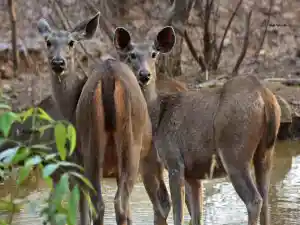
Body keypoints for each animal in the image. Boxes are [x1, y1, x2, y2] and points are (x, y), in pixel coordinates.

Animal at [112, 25, 282, 225]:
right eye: (131, 55)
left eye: (154, 53)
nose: (144, 75)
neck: (158, 115)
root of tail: (265, 96)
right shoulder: (193, 173)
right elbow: (196, 215)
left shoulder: (174, 160)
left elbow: (178, 213)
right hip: (265, 151)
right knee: (266, 199)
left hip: (234, 150)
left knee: (254, 200)